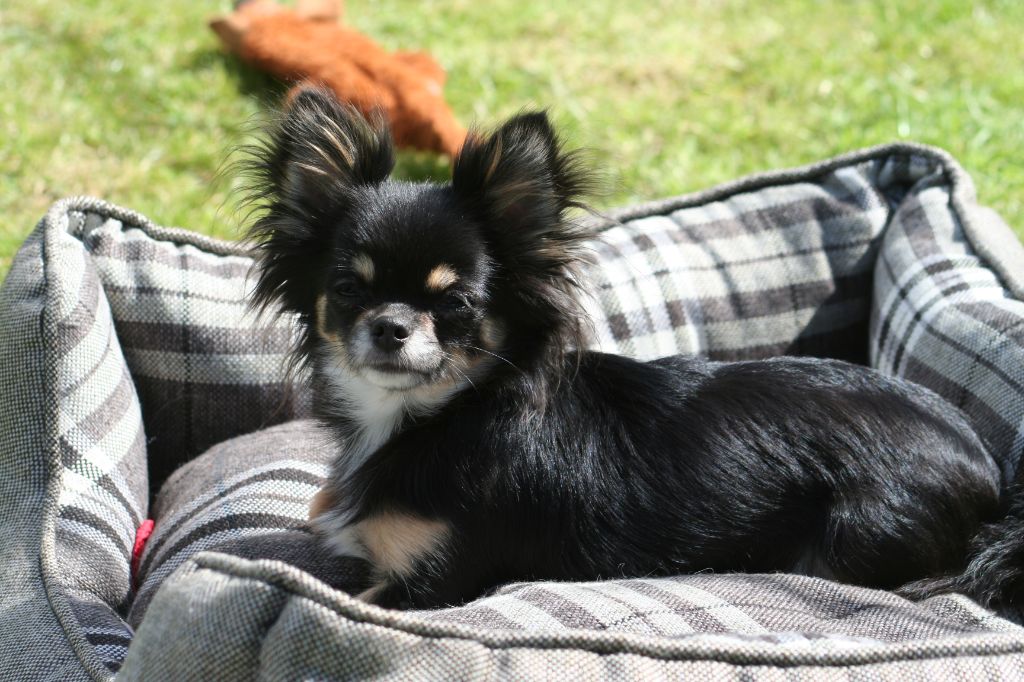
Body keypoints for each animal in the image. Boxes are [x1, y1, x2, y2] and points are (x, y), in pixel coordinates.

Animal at [244, 87, 1015, 612]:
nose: (391, 327)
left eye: (457, 304)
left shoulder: (430, 584)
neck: (431, 416)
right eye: (349, 289)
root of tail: (989, 472)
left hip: (852, 537)